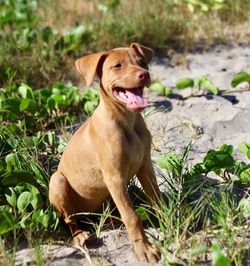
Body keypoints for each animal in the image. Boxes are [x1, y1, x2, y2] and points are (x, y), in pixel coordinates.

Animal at [48, 43, 161, 262]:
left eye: (142, 62)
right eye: (118, 66)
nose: (144, 74)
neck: (127, 121)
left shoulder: (145, 166)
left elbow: (156, 199)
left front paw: (169, 220)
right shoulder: (114, 178)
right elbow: (132, 217)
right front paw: (144, 249)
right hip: (57, 181)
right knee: (69, 220)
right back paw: (81, 235)